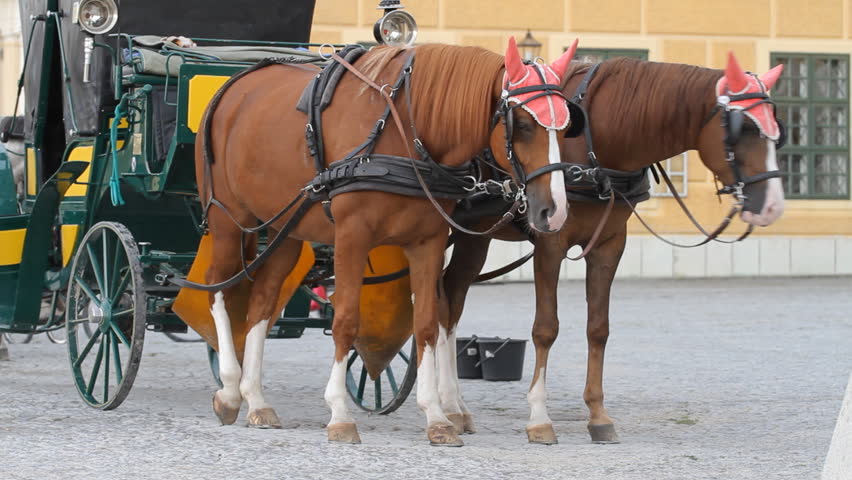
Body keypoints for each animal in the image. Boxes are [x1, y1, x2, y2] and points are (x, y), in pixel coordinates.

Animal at [196, 38, 579, 446]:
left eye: (566, 127)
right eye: (522, 125)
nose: (554, 210)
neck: (403, 131)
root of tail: (235, 85)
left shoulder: (427, 242)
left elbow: (426, 324)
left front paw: (436, 416)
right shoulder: (351, 236)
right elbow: (346, 321)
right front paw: (340, 414)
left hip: (287, 230)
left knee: (261, 302)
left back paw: (255, 398)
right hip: (226, 219)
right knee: (218, 287)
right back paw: (230, 390)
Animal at [437, 52, 786, 444]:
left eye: (778, 131)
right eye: (744, 129)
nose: (773, 206)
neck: (597, 146)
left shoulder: (609, 245)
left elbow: (598, 328)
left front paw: (598, 415)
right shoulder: (550, 243)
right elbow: (546, 328)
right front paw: (539, 417)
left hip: (476, 236)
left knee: (451, 300)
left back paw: (456, 405)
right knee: (447, 307)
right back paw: (450, 405)